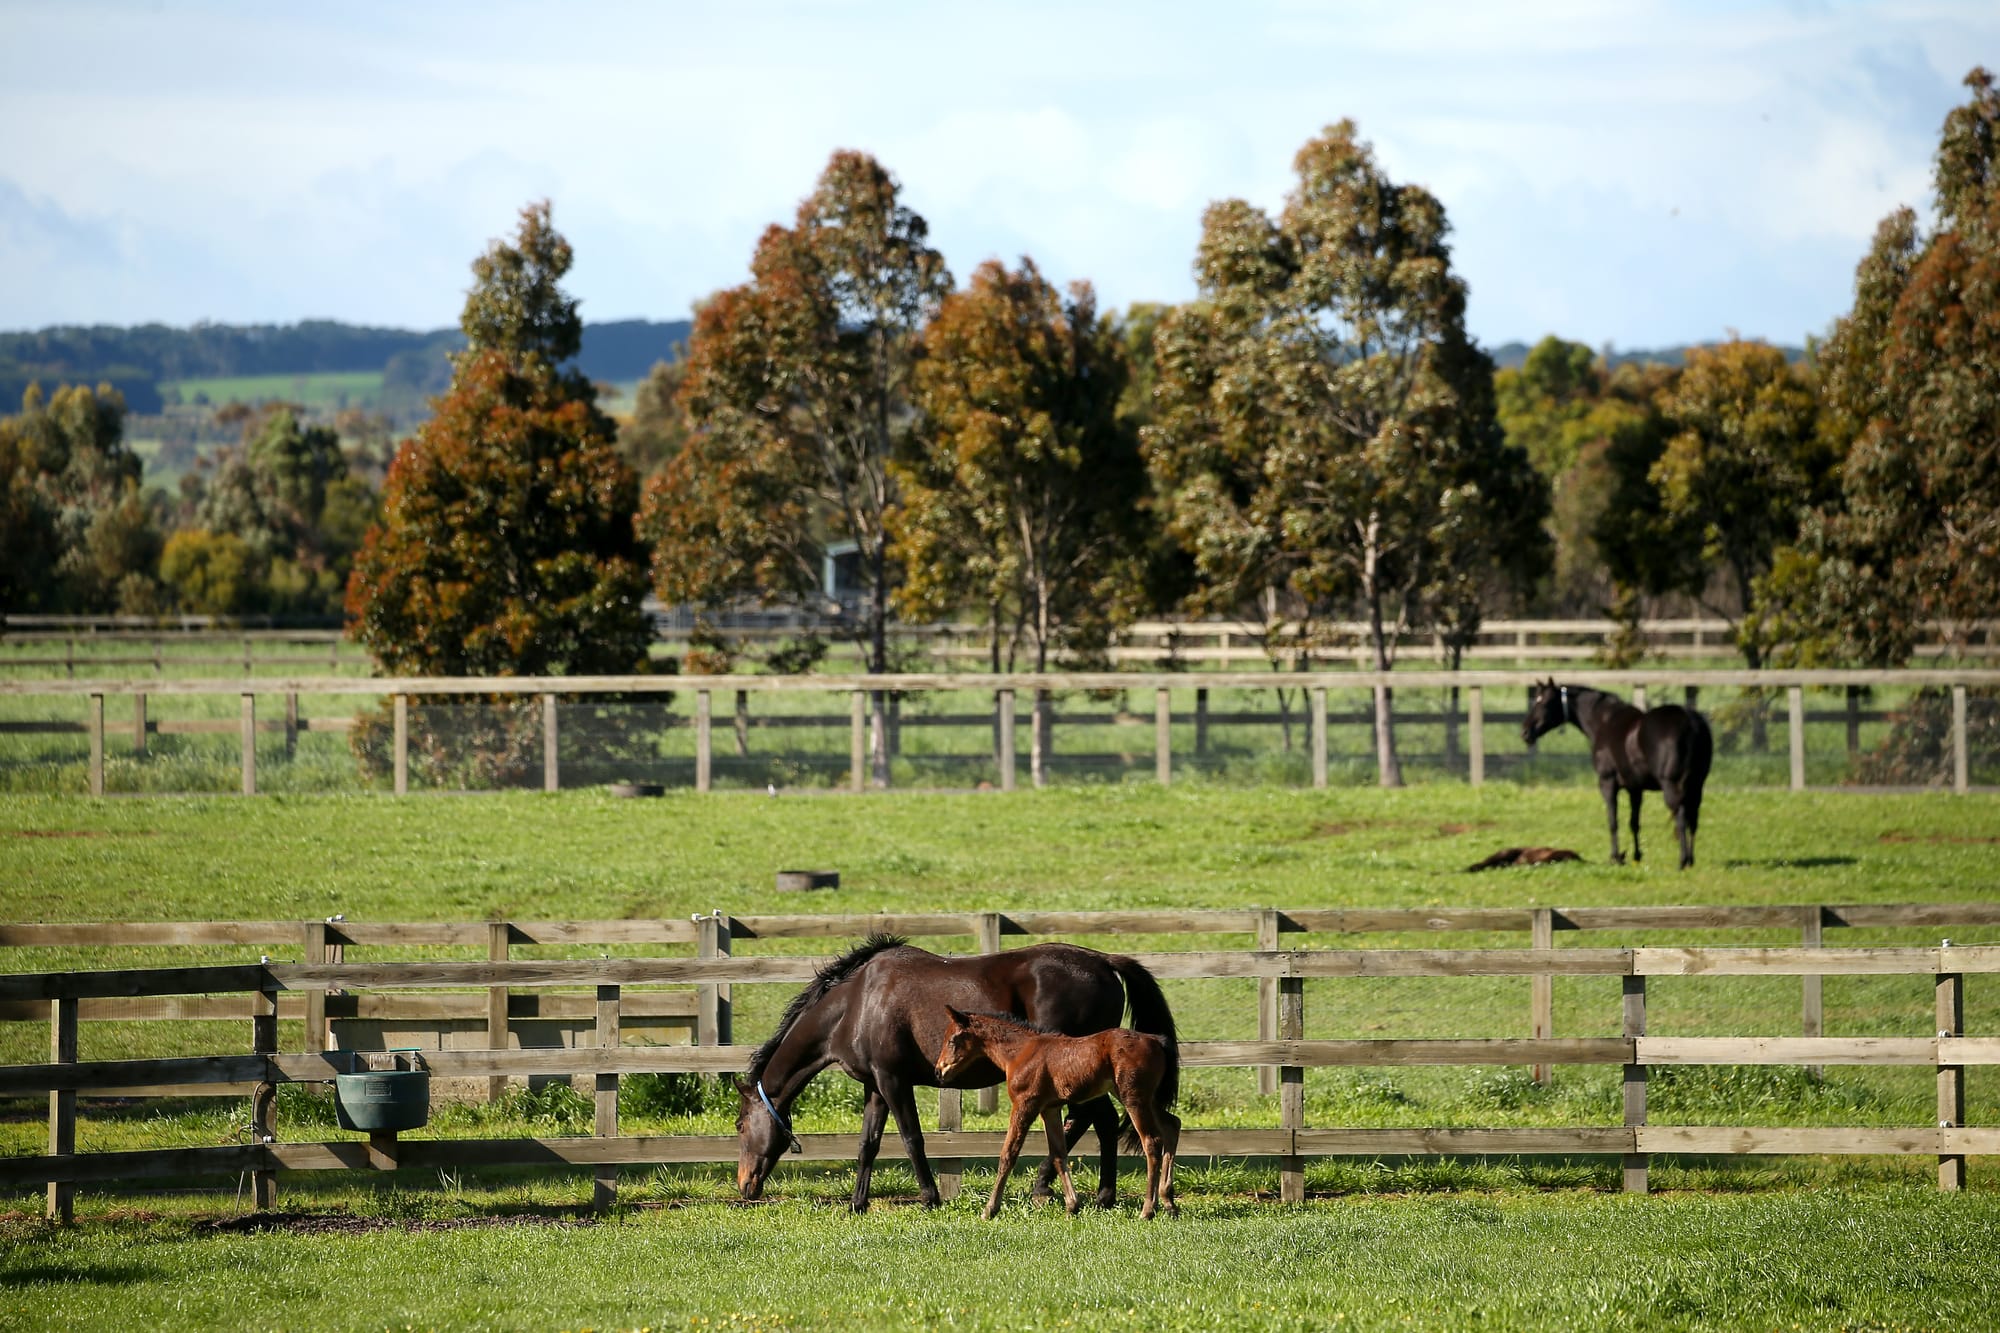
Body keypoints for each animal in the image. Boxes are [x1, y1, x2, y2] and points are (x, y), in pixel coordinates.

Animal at [732, 932, 1168, 1200]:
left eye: (738, 1125)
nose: (744, 1185)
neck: (855, 1005)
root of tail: (1102, 960)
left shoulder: (894, 1081)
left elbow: (912, 1138)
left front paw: (930, 1196)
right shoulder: (875, 1086)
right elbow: (867, 1143)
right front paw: (858, 1202)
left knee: (1096, 1121)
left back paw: (1073, 1191)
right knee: (1095, 1122)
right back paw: (1084, 1193)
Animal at [932, 1008, 1176, 1216]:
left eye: (952, 1040)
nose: (938, 1071)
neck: (1021, 1052)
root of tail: (1156, 1041)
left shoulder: (1025, 1104)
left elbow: (1008, 1154)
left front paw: (989, 1209)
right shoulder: (1050, 1109)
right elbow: (1059, 1153)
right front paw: (1072, 1206)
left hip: (1133, 1098)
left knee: (1152, 1141)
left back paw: (1148, 1210)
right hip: (1145, 1099)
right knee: (1172, 1125)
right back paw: (1168, 1203)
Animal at [1520, 680, 1712, 868]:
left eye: (1544, 702)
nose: (1525, 732)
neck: (1604, 721)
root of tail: (1691, 723)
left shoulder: (1607, 783)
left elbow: (1613, 821)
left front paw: (1615, 857)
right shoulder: (1635, 789)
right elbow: (1634, 823)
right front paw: (1636, 857)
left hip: (1672, 785)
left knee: (1681, 818)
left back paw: (1683, 860)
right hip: (1697, 785)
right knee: (1693, 820)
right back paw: (1691, 860)